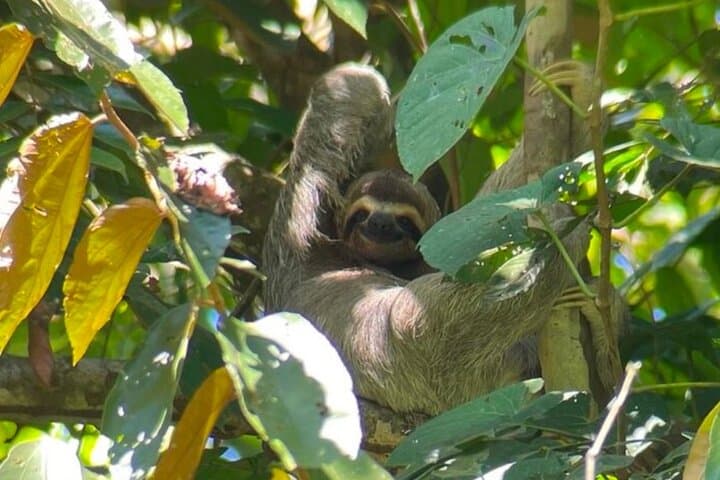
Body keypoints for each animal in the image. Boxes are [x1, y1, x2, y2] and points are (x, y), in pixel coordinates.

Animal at [263, 63, 621, 415]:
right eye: (362, 214)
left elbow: (476, 222)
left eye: (405, 221)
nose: (380, 223)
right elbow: (423, 325)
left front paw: (586, 94)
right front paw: (565, 232)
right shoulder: (305, 252)